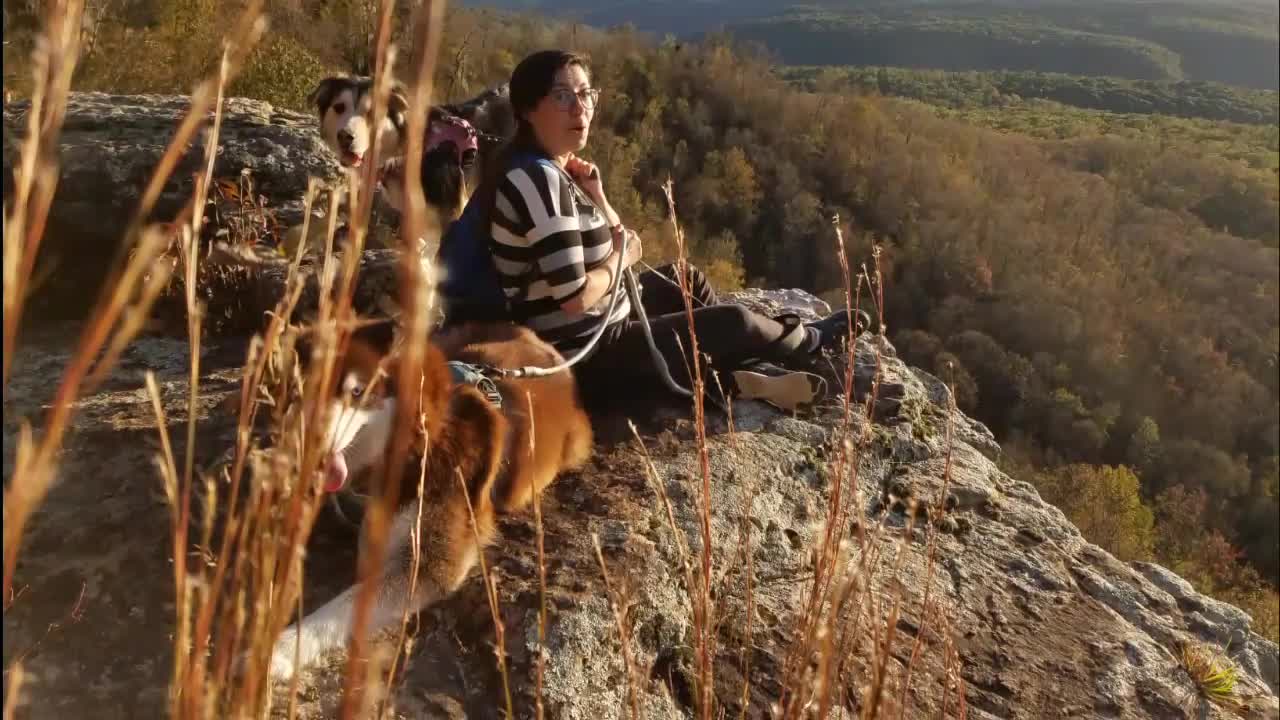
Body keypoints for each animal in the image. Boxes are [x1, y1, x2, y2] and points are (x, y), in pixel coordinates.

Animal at [268, 319, 593, 676]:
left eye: (357, 392)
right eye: (303, 388)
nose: (310, 448)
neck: (413, 439)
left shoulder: (432, 563)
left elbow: (345, 604)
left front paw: (281, 650)